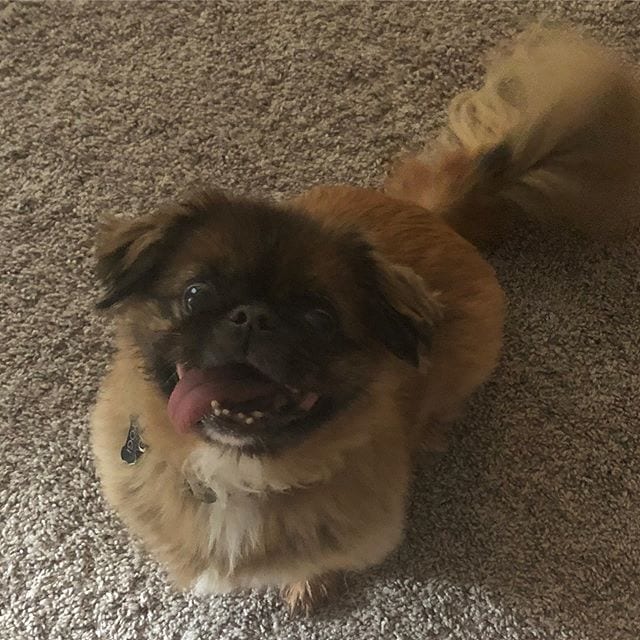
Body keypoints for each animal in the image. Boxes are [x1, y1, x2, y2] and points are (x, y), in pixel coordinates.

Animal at [90, 27, 640, 612]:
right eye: (196, 294)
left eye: (319, 318)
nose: (253, 316)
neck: (239, 476)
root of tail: (434, 214)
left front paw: (311, 584)